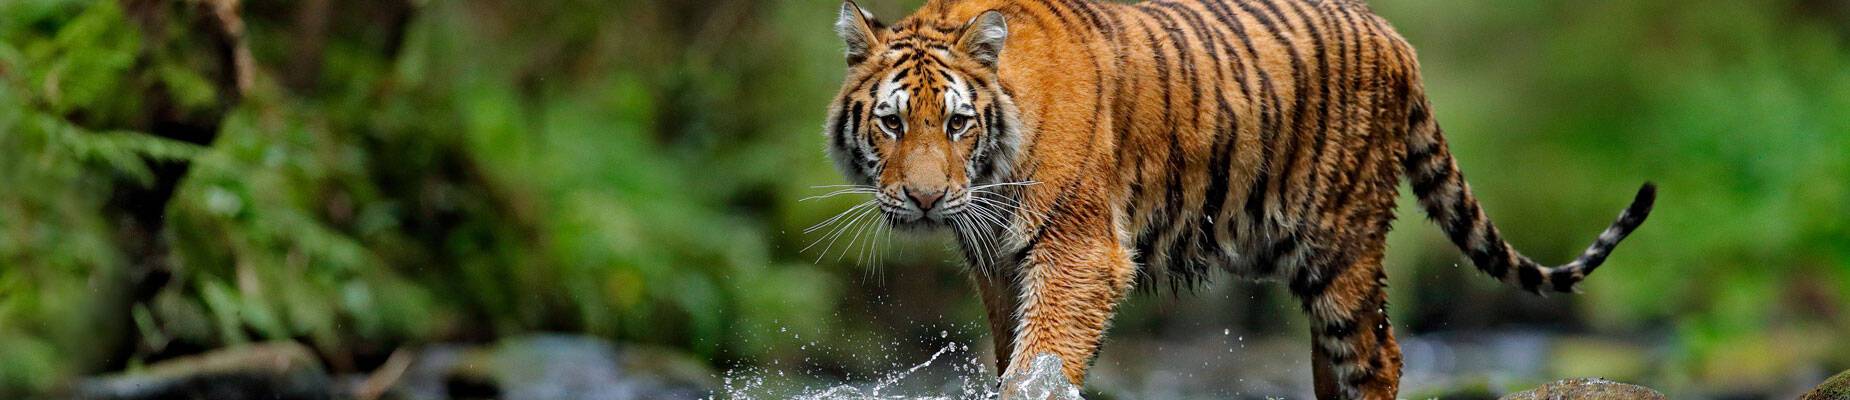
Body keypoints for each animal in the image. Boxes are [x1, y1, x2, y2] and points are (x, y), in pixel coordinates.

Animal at [818, 0, 1656, 398]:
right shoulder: (998, 263)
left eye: (958, 124)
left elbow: (1040, 360)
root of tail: (1395, 36)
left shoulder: (1079, 250)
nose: (927, 200)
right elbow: (1013, 354)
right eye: (892, 123)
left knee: (1378, 355)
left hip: (1341, 242)